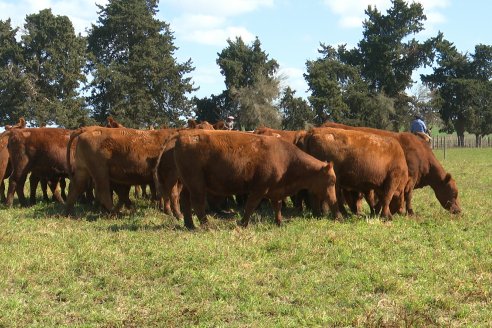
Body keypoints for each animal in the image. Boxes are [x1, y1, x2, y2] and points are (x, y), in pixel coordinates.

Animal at [172, 129, 338, 229]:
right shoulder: (259, 189)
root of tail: (184, 135)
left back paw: (189, 224)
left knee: (185, 201)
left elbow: (277, 206)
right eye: (331, 181)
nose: (334, 201)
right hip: (196, 184)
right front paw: (243, 223)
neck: (286, 157)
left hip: (187, 184)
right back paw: (206, 225)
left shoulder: (275, 189)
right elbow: (250, 206)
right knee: (198, 203)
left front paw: (279, 222)